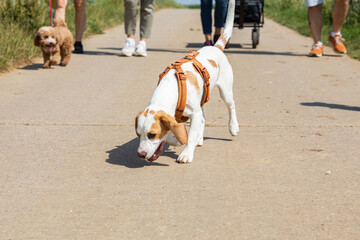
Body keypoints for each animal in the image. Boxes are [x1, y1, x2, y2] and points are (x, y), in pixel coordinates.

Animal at [134, 0, 236, 163]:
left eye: (152, 135)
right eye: (138, 134)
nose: (141, 155)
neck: (171, 88)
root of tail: (216, 47)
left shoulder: (194, 113)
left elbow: (190, 136)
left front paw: (187, 153)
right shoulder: (178, 116)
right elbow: (175, 134)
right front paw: (177, 140)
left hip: (225, 91)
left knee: (231, 106)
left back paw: (233, 127)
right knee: (203, 118)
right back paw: (200, 138)